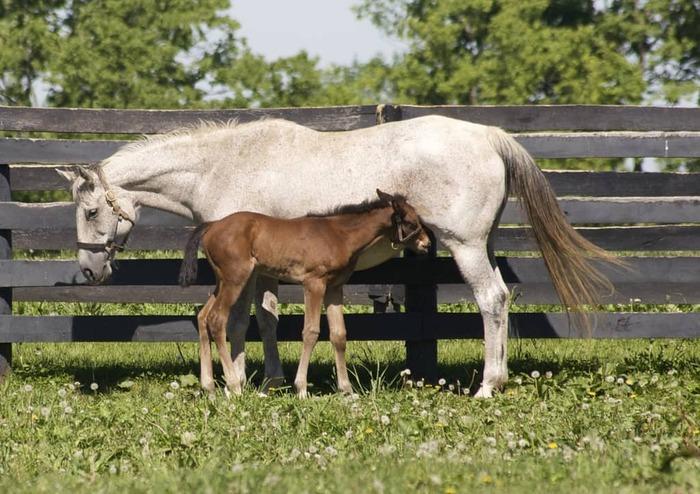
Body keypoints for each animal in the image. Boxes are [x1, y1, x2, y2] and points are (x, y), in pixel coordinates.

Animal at [179, 190, 432, 398]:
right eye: (411, 222)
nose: (427, 244)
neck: (339, 235)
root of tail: (212, 225)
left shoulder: (334, 287)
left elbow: (339, 334)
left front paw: (347, 390)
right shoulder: (314, 283)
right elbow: (311, 332)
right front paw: (301, 389)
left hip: (222, 281)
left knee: (202, 316)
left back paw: (209, 387)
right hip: (235, 278)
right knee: (216, 320)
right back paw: (233, 386)